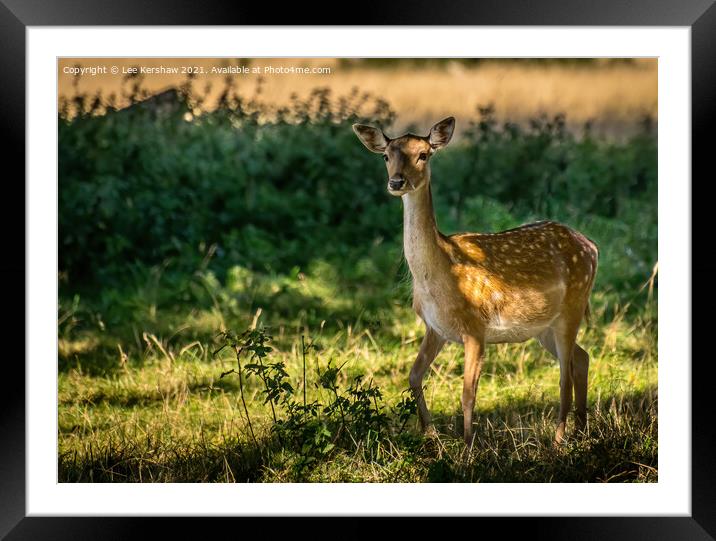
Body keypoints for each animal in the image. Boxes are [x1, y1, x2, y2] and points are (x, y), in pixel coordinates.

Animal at [352, 117, 600, 442]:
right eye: (386, 156)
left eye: (423, 154)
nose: (396, 182)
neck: (439, 273)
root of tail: (592, 247)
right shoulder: (435, 328)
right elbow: (414, 376)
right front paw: (431, 437)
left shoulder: (475, 328)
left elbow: (468, 394)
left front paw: (468, 448)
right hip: (544, 326)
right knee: (581, 359)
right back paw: (582, 432)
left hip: (573, 306)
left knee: (564, 379)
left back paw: (559, 441)